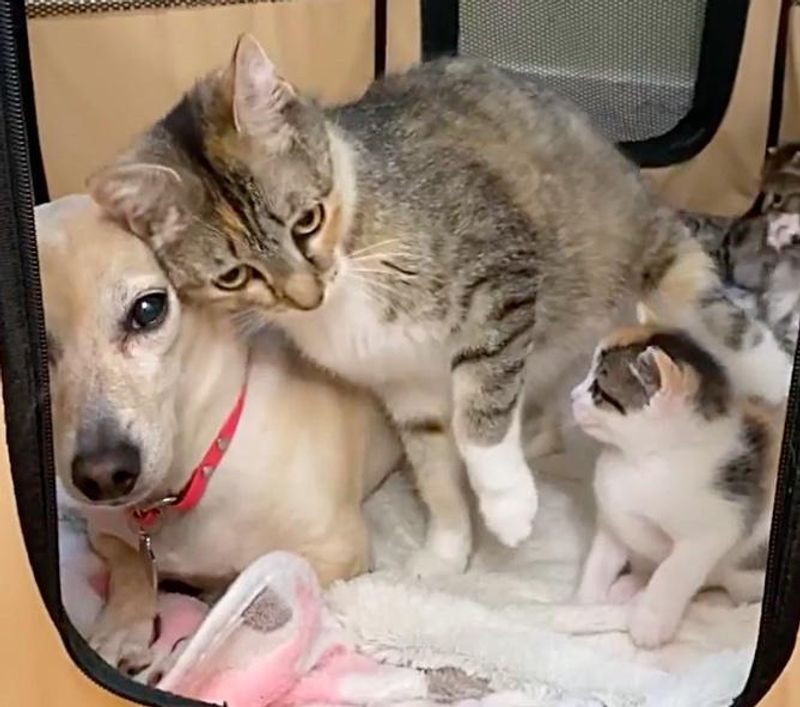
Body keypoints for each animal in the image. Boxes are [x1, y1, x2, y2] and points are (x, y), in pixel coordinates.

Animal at [39, 196, 400, 676]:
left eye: (148, 309)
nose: (103, 475)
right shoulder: (107, 534)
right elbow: (132, 568)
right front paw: (121, 629)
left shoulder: (333, 553)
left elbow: (228, 599)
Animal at [89, 36, 776, 576]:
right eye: (235, 276)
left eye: (308, 219)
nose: (308, 294)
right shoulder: (405, 390)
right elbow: (436, 474)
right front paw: (446, 553)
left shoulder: (501, 274)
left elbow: (481, 408)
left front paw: (505, 500)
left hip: (642, 253)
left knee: (719, 315)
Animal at [572, 306, 784, 648]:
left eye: (598, 391)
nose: (572, 395)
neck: (639, 461)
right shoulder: (612, 521)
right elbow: (599, 562)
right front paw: (585, 604)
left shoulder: (714, 528)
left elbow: (673, 571)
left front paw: (649, 620)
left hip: (748, 571)